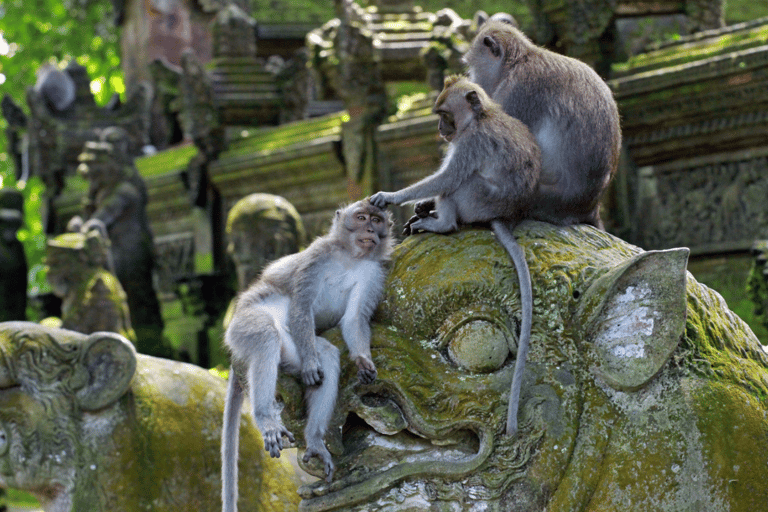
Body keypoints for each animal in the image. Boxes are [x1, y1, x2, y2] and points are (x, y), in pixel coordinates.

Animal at [221, 199, 393, 512]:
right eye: (361, 217)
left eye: (377, 220)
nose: (370, 230)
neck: (350, 257)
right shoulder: (317, 256)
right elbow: (302, 305)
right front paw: (314, 365)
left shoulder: (374, 272)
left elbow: (354, 319)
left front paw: (363, 361)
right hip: (244, 325)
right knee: (266, 336)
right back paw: (265, 418)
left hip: (293, 347)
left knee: (326, 354)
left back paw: (313, 440)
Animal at [370, 76, 540, 436]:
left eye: (445, 114)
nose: (440, 129)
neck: (480, 118)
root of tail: (504, 215)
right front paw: (420, 204)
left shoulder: (471, 143)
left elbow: (447, 178)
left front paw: (392, 196)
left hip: (476, 200)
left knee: (458, 183)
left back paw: (442, 223)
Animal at [464, 20, 621, 229]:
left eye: (472, 67)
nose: (474, 81)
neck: (518, 62)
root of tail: (590, 207)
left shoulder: (518, 91)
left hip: (543, 200)